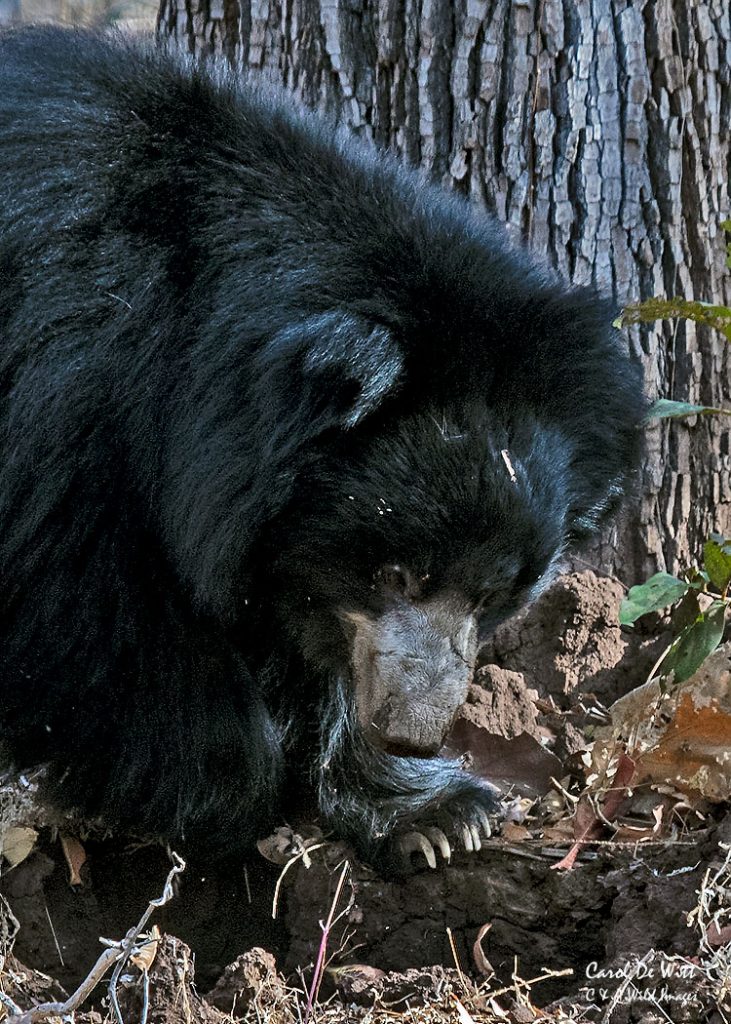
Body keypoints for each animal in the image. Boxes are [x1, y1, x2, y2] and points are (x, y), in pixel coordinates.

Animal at [0, 26, 644, 871]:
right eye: (396, 572)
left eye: (493, 594)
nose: (413, 731)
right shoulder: (64, 392)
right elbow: (90, 611)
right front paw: (226, 796)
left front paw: (430, 816)